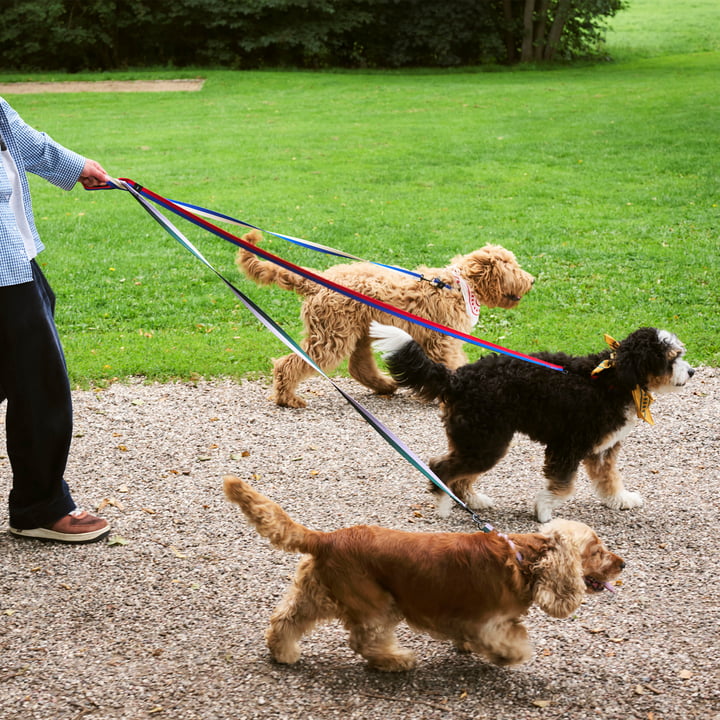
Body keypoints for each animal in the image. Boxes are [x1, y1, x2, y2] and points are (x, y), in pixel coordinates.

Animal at [236, 232, 536, 410]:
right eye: (511, 266)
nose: (532, 280)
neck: (457, 285)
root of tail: (318, 282)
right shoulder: (441, 340)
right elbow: (449, 365)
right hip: (332, 336)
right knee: (290, 363)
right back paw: (287, 398)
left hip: (356, 332)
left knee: (358, 367)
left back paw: (385, 385)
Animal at [368, 324, 696, 520]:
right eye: (671, 357)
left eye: (679, 354)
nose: (691, 371)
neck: (611, 379)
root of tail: (457, 378)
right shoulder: (567, 446)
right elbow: (563, 486)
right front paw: (544, 510)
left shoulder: (603, 448)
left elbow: (609, 477)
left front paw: (619, 499)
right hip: (486, 441)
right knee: (441, 467)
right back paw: (445, 504)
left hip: (478, 440)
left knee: (458, 473)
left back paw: (472, 500)